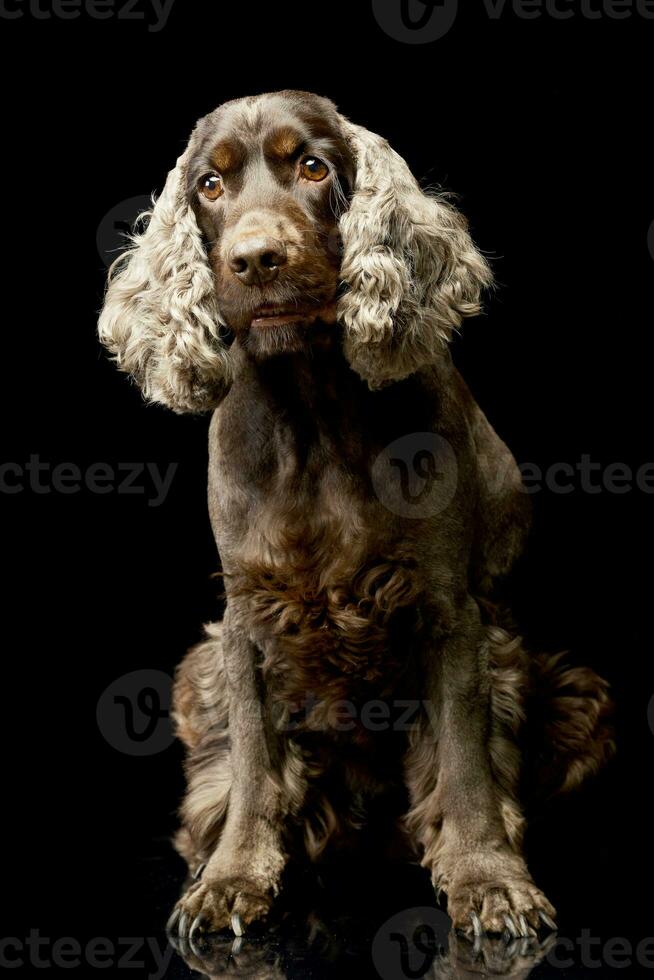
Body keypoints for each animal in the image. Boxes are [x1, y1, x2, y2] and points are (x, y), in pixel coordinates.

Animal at [97, 90, 616, 940]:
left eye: (313, 166)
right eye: (209, 183)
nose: (256, 260)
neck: (313, 410)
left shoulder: (450, 613)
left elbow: (465, 762)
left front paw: (489, 877)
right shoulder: (244, 621)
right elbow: (253, 763)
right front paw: (232, 876)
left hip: (576, 694)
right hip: (197, 673)